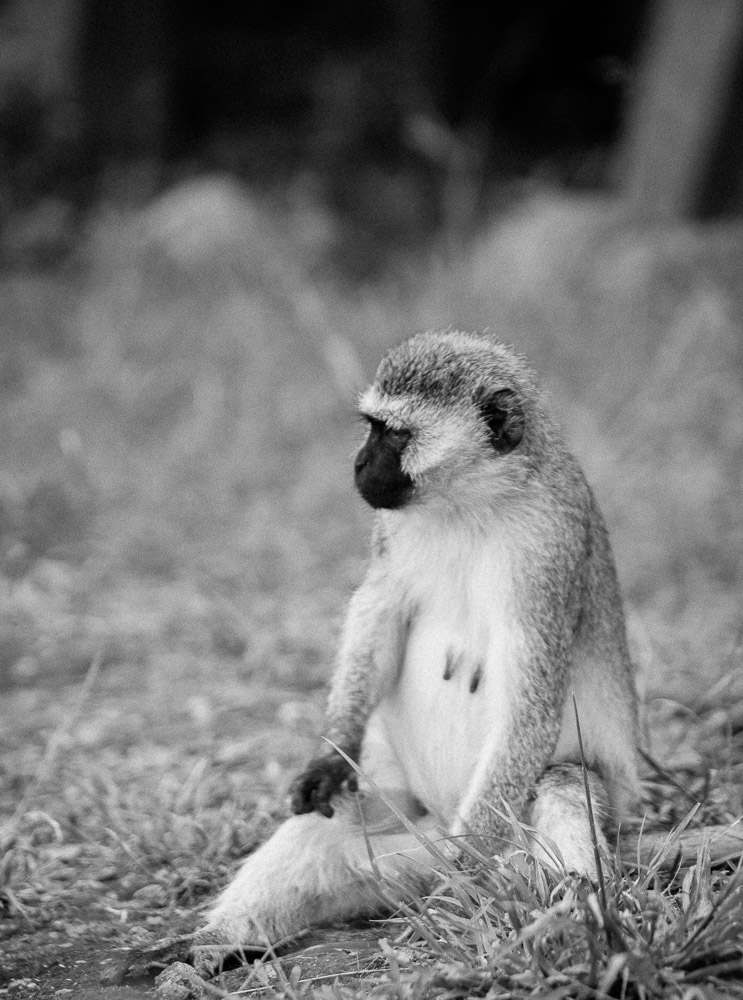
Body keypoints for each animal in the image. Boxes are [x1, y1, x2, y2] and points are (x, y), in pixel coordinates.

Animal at [195, 330, 644, 968]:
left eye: (396, 435)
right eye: (371, 427)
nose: (359, 463)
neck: (470, 503)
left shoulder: (548, 551)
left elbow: (529, 706)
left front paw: (470, 863)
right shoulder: (393, 528)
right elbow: (379, 613)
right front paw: (332, 753)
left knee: (560, 785)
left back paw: (560, 920)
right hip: (407, 833)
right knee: (322, 832)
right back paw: (214, 947)